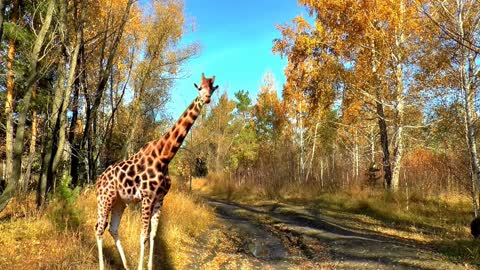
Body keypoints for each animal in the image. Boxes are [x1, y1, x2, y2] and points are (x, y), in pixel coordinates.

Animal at [94, 73, 218, 268]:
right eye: (199, 88)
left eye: (212, 88)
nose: (206, 98)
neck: (164, 157)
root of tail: (98, 181)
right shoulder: (147, 196)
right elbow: (143, 235)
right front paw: (141, 267)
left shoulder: (160, 198)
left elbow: (152, 235)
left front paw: (149, 266)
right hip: (105, 198)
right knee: (99, 228)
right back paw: (102, 266)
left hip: (120, 201)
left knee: (112, 228)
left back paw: (126, 265)